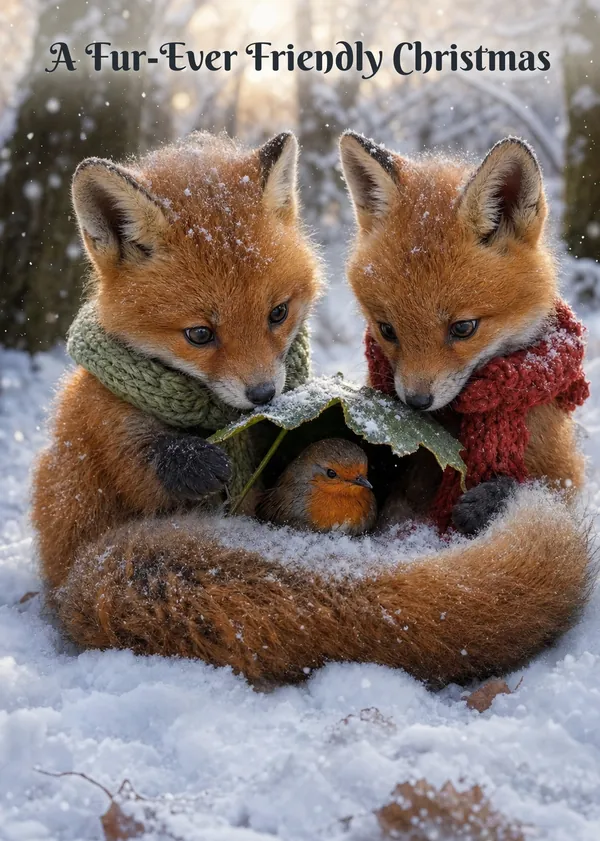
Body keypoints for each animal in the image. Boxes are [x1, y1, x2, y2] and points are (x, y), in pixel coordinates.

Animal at [32, 131, 322, 592]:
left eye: (278, 313)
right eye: (199, 335)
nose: (263, 396)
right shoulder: (102, 415)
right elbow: (137, 465)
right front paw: (197, 464)